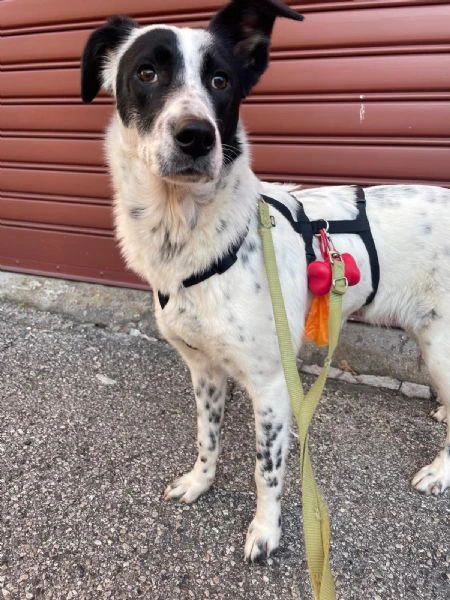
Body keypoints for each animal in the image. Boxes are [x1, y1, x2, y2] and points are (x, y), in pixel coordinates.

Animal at [81, 0, 450, 564]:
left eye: (220, 81)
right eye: (146, 73)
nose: (196, 135)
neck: (192, 236)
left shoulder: (272, 385)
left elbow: (267, 470)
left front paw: (265, 532)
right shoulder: (204, 369)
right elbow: (207, 437)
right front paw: (200, 482)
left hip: (440, 347)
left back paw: (439, 472)